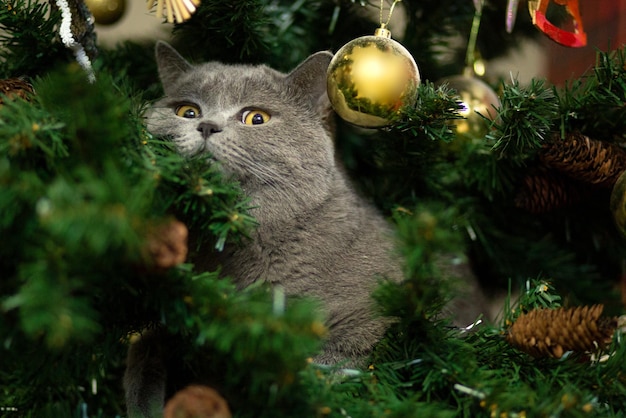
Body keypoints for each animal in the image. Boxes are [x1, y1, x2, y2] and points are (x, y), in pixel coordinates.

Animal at [123, 43, 400, 418]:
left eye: (256, 118)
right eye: (187, 111)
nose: (206, 126)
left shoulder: (373, 317)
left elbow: (331, 364)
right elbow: (147, 341)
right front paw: (144, 401)